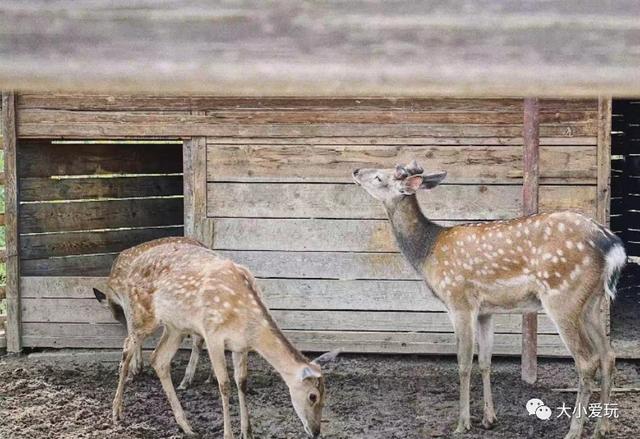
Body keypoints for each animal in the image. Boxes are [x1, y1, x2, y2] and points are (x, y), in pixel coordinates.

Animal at [94, 237, 340, 439]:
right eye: (312, 396)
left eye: (325, 395)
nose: (316, 431)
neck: (247, 323)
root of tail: (130, 265)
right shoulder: (212, 334)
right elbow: (224, 384)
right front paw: (228, 434)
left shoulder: (240, 346)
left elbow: (242, 382)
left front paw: (247, 432)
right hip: (140, 314)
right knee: (127, 346)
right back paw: (116, 412)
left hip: (175, 327)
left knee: (159, 359)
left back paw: (186, 426)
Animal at [350, 162, 624, 439]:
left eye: (379, 177)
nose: (355, 171)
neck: (428, 253)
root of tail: (612, 245)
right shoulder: (485, 311)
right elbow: (484, 361)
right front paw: (489, 419)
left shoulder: (459, 300)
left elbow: (463, 362)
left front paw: (462, 424)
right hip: (591, 303)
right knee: (608, 354)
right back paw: (603, 427)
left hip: (563, 297)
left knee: (587, 360)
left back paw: (574, 431)